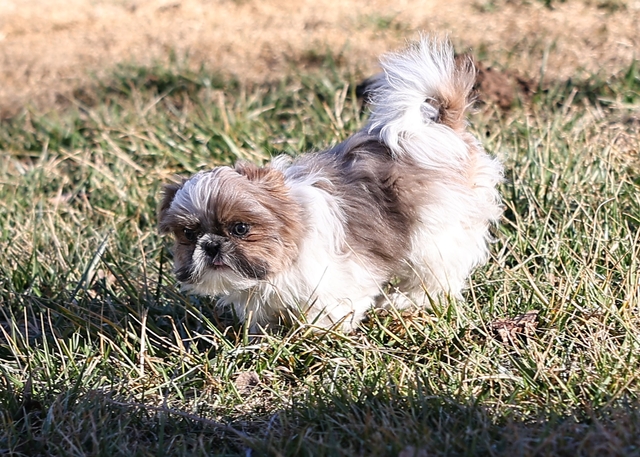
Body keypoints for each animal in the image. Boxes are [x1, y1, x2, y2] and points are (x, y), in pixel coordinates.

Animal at [158, 36, 503, 332]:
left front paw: (317, 336)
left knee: (434, 276)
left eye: (240, 228)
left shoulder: (340, 278)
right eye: (189, 234)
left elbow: (331, 311)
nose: (211, 244)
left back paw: (406, 302)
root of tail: (440, 129)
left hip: (436, 235)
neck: (290, 244)